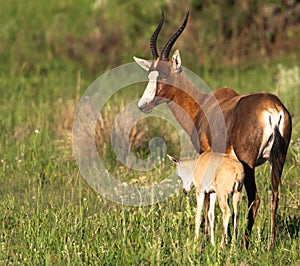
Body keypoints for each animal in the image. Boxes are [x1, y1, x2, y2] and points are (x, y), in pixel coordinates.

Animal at [134, 10, 292, 247]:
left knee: (255, 199)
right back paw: (271, 244)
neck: (203, 103)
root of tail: (273, 109)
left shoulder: (206, 155)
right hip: (278, 160)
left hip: (248, 164)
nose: (143, 105)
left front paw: (206, 239)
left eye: (164, 75)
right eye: (149, 75)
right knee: (274, 195)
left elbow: (208, 203)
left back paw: (243, 244)